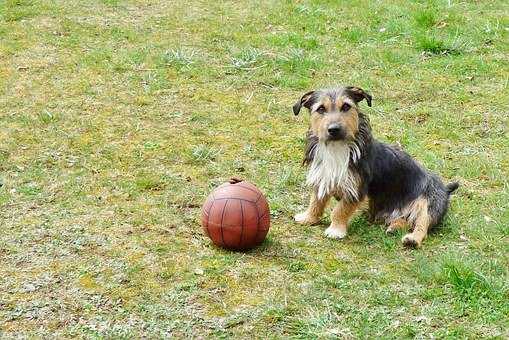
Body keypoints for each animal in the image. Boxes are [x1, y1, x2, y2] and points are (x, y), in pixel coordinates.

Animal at [292, 86, 458, 248]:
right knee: (407, 220)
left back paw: (412, 239)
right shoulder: (322, 178)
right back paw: (394, 227)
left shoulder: (356, 189)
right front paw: (308, 218)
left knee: (422, 224)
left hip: (429, 202)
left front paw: (336, 230)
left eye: (346, 106)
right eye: (320, 109)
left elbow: (340, 210)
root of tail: (446, 189)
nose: (334, 129)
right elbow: (316, 202)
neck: (337, 148)